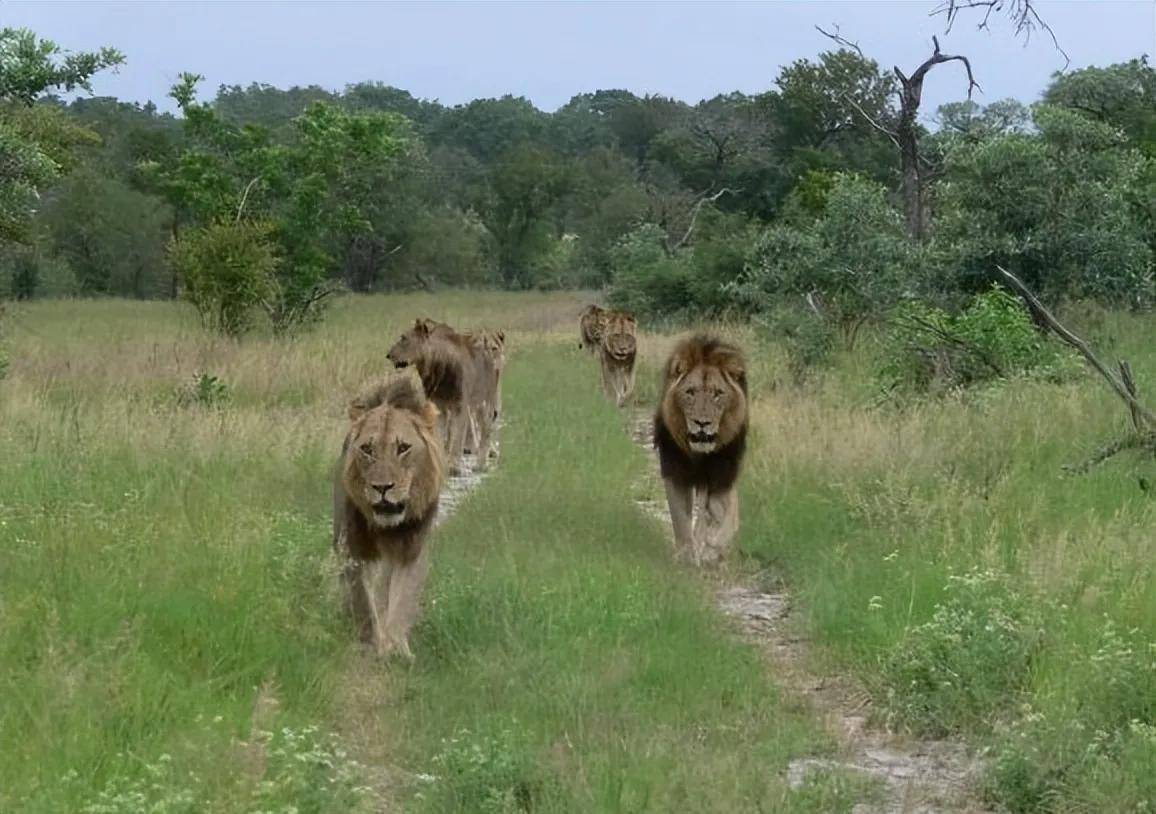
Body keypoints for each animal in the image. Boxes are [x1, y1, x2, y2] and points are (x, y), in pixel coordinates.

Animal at [335, 374, 446, 661]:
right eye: (367, 449)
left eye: (403, 448)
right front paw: (373, 643)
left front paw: (396, 649)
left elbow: (402, 597)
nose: (382, 487)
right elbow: (363, 599)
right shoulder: (354, 549)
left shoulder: (412, 549)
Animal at [651, 335, 749, 566]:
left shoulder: (722, 475)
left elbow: (725, 516)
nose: (702, 423)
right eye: (690, 392)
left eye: (718, 394)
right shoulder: (675, 470)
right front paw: (686, 554)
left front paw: (713, 548)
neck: (700, 456)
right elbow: (679, 516)